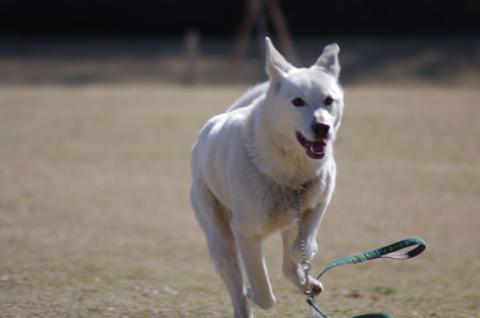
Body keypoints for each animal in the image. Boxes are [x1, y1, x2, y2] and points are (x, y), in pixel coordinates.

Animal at [189, 38, 344, 318]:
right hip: (219, 238)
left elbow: (301, 247)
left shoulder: (319, 202)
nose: (322, 128)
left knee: (287, 262)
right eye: (298, 101)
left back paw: (307, 283)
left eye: (329, 100)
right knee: (237, 287)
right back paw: (246, 302)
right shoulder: (247, 234)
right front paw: (254, 292)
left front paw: (307, 267)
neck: (290, 169)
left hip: (288, 221)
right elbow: (262, 290)